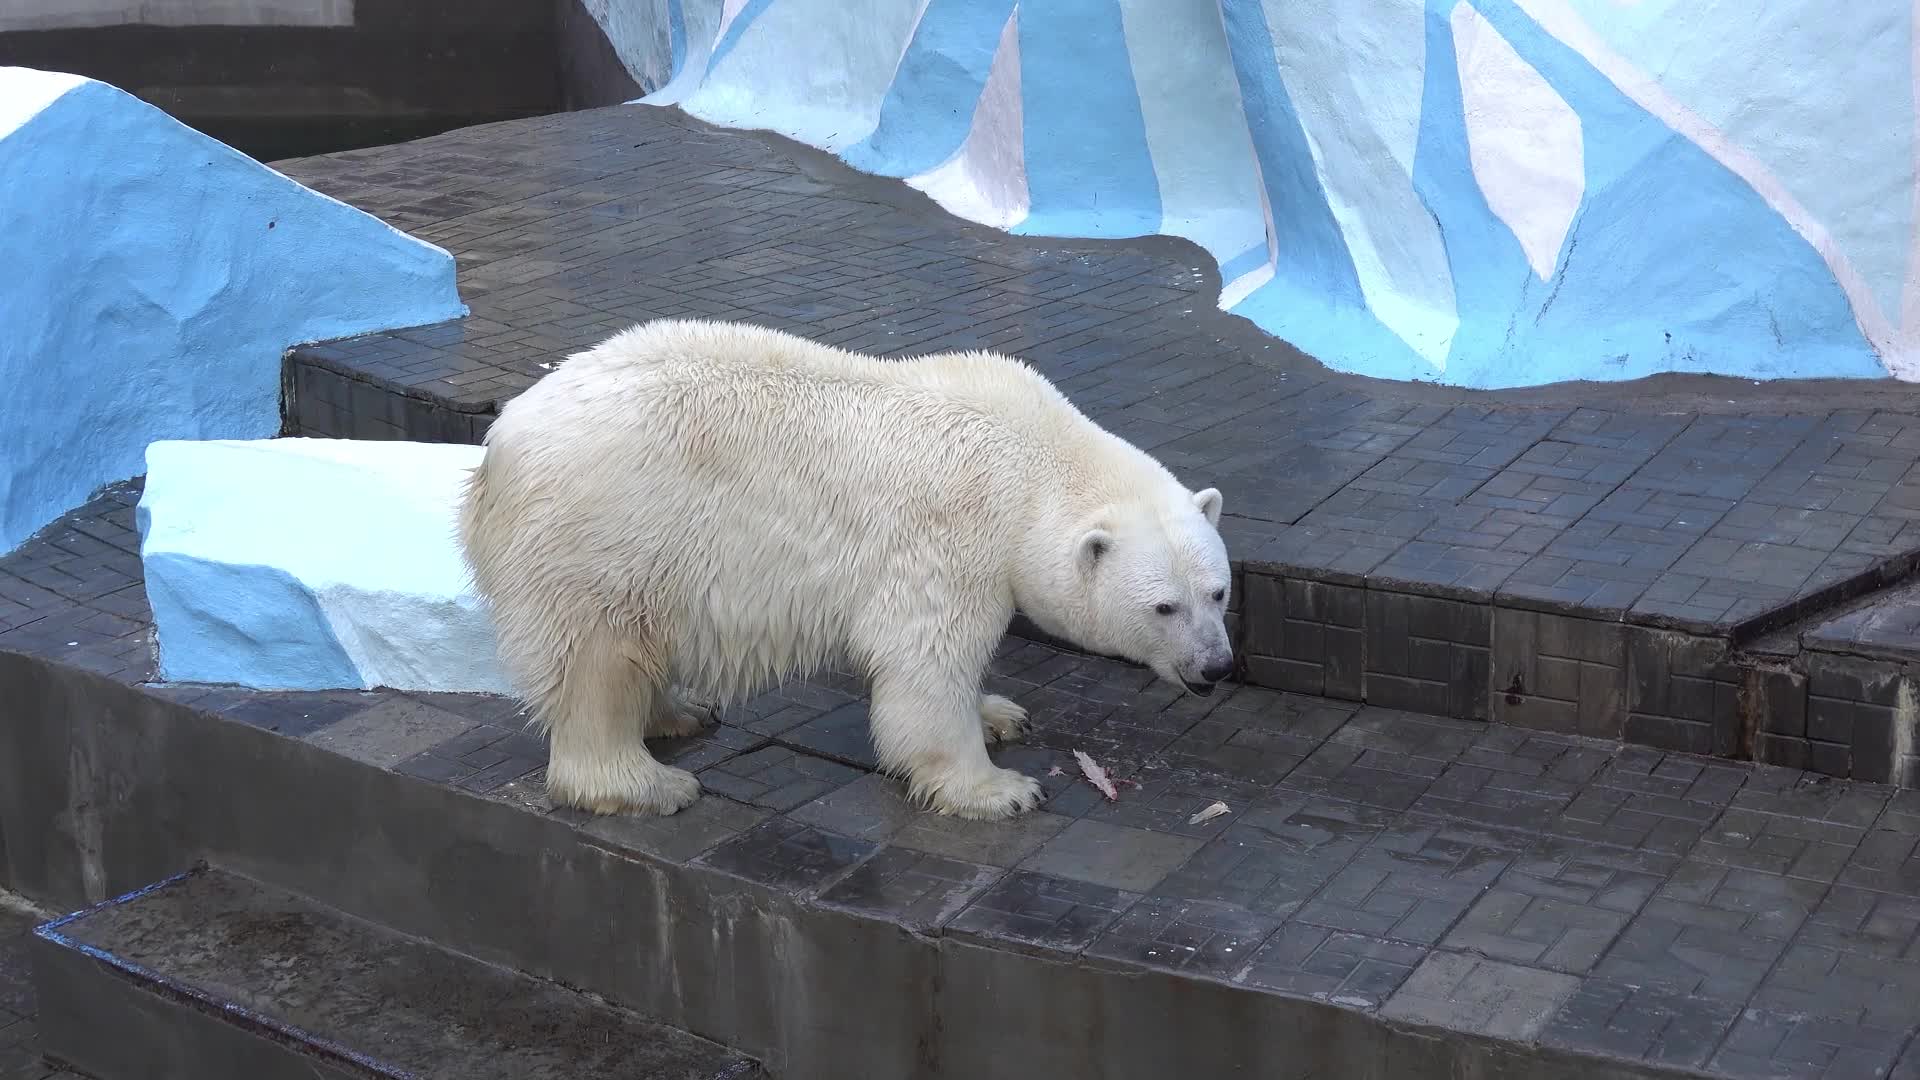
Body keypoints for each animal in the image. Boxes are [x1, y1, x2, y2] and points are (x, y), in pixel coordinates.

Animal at [458, 319, 1236, 814]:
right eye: (1164, 606)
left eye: (1219, 593)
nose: (1216, 667)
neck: (1032, 463)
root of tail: (498, 447)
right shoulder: (950, 539)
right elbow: (926, 660)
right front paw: (998, 789)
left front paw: (997, 714)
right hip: (602, 533)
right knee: (600, 660)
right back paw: (645, 785)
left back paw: (679, 711)